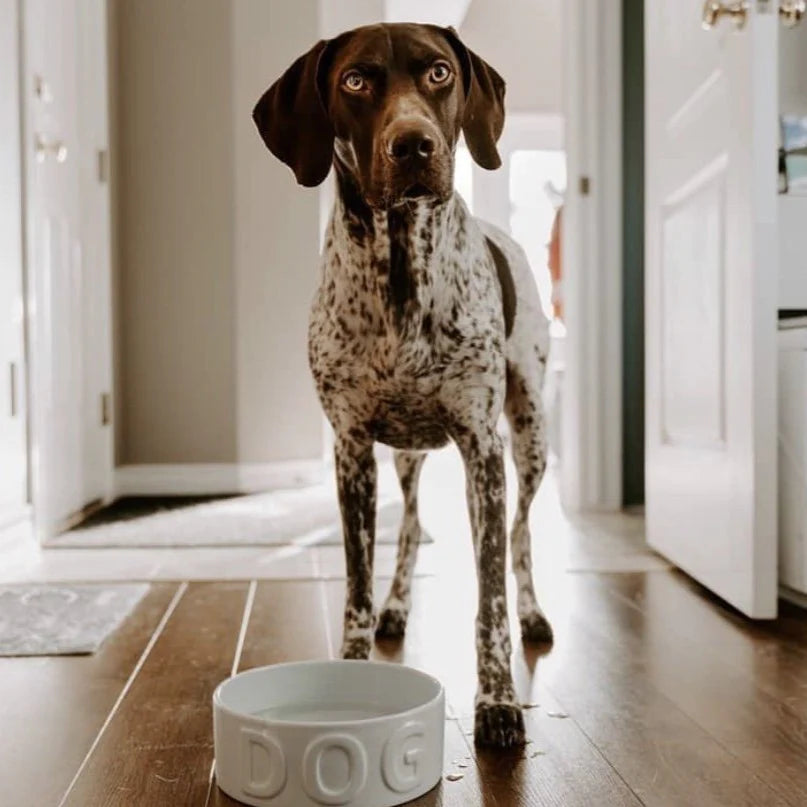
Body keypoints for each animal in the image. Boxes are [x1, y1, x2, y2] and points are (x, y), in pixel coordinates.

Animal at [256, 20, 552, 752]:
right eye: (356, 80)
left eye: (439, 72)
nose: (413, 143)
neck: (398, 272)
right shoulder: (352, 450)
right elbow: (357, 586)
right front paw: (354, 666)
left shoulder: (483, 451)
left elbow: (489, 596)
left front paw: (497, 701)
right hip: (408, 456)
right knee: (414, 526)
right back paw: (398, 605)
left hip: (529, 437)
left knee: (519, 536)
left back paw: (534, 612)